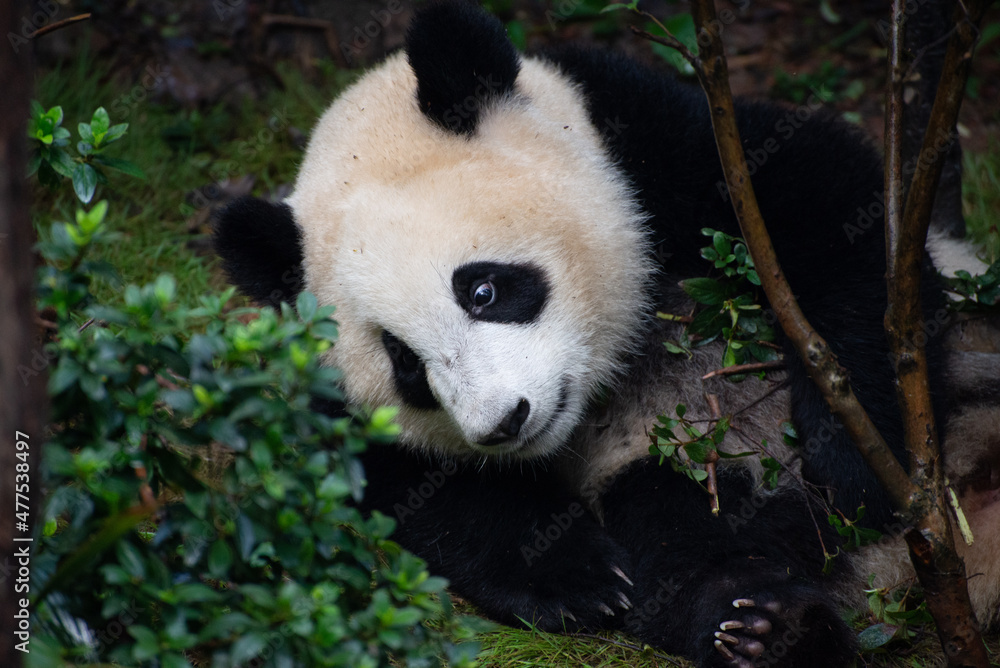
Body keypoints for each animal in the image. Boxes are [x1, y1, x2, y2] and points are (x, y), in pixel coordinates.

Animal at [213, 1, 1000, 666]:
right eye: (404, 363)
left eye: (482, 289)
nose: (504, 423)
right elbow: (419, 485)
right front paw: (574, 579)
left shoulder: (659, 145)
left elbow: (827, 209)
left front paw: (853, 457)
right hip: (674, 470)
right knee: (681, 543)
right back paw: (766, 629)